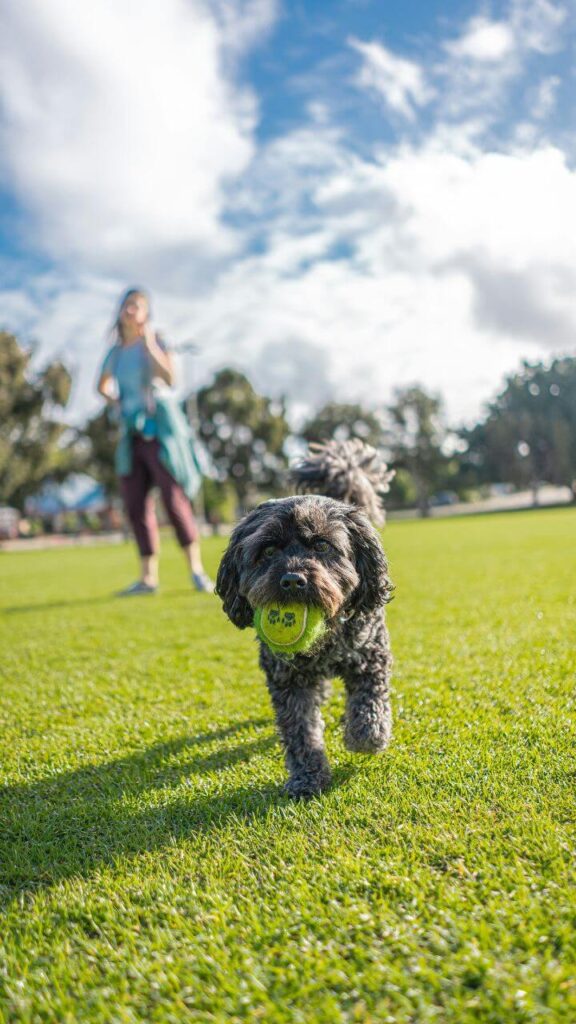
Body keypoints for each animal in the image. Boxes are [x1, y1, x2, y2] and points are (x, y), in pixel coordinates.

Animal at [213, 440, 391, 798]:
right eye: (268, 551)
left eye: (322, 545)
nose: (293, 579)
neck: (326, 638)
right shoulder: (288, 680)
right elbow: (300, 733)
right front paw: (308, 777)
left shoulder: (371, 656)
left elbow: (369, 702)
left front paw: (365, 736)